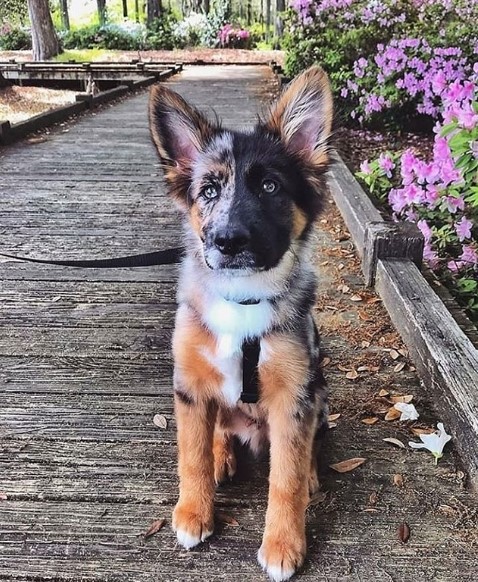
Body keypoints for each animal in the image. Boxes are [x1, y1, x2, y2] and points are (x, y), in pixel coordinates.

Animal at [149, 66, 332, 582]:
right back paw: (222, 456)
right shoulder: (189, 385)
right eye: (209, 190)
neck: (243, 297)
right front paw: (194, 513)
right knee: (217, 431)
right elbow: (190, 454)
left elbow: (286, 479)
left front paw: (283, 544)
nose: (227, 242)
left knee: (308, 444)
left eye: (270, 187)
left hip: (319, 391)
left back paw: (311, 470)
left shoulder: (294, 396)